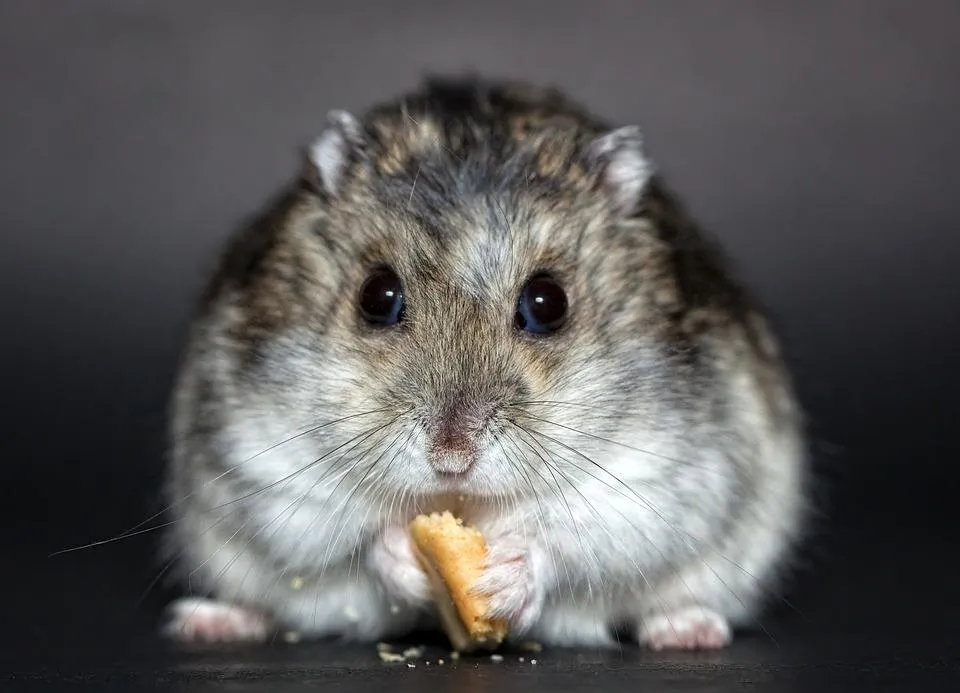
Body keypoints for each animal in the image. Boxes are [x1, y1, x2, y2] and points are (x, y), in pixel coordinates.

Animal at [159, 77, 808, 650]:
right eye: (376, 296)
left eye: (548, 303)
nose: (452, 459)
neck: (466, 504)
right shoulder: (265, 463)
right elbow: (349, 536)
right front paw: (404, 555)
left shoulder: (659, 477)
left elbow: (574, 539)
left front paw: (504, 577)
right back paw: (209, 622)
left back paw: (688, 631)